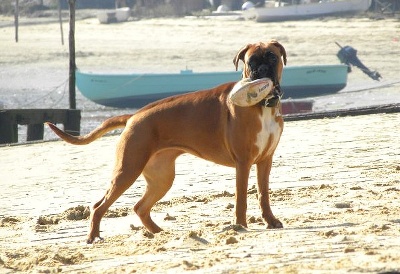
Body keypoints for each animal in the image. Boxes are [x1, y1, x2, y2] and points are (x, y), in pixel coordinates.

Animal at [47, 39, 288, 243]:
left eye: (272, 57)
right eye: (251, 61)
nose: (262, 70)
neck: (262, 106)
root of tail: (133, 116)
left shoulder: (265, 161)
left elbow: (263, 194)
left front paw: (270, 221)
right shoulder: (243, 163)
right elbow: (241, 198)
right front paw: (240, 226)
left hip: (161, 178)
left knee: (140, 207)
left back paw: (159, 232)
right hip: (128, 169)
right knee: (99, 206)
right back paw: (94, 236)